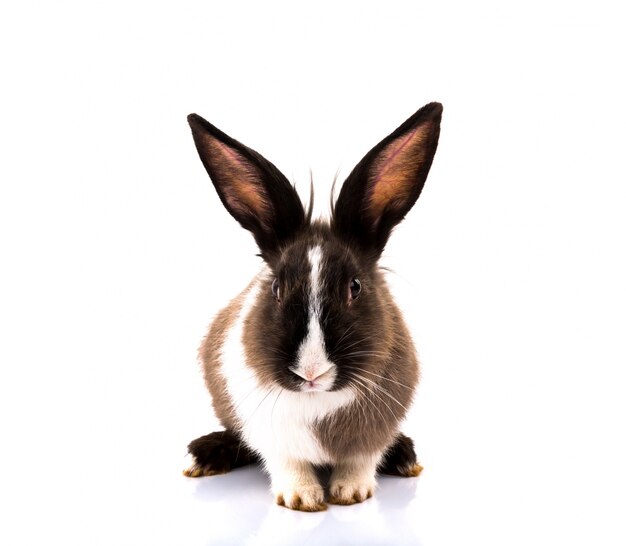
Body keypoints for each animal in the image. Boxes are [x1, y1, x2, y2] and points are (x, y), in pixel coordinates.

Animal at [183, 101, 442, 510]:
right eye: (275, 287)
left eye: (355, 287)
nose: (311, 372)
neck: (316, 399)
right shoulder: (266, 429)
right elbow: (285, 462)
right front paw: (301, 497)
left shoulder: (377, 428)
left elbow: (361, 459)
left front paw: (352, 492)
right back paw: (205, 455)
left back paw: (404, 457)